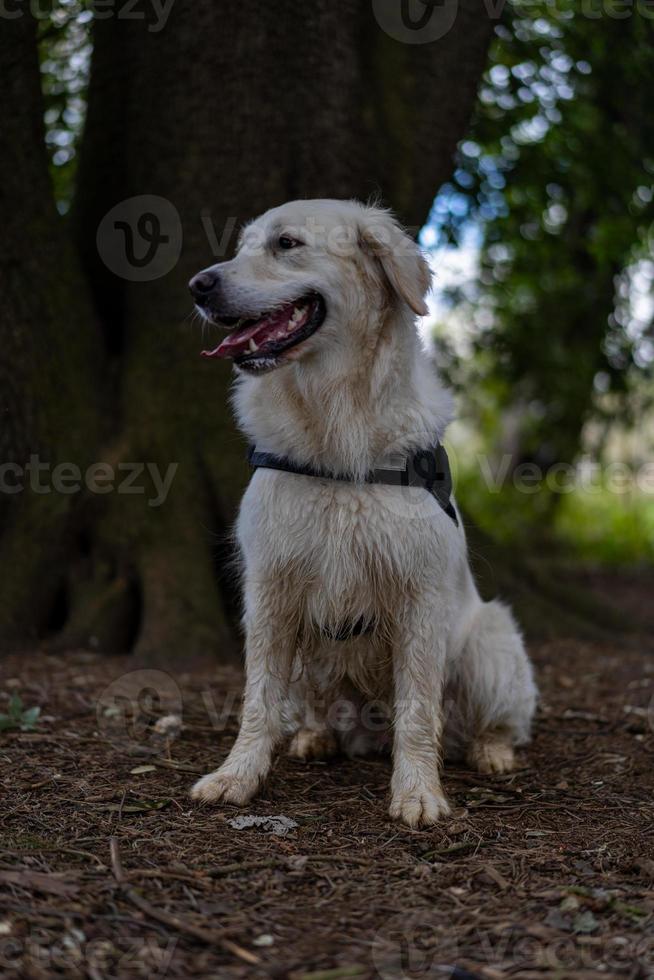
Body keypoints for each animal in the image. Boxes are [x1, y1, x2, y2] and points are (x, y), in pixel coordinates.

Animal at [190, 199, 540, 828]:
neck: (335, 425)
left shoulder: (420, 592)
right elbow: (258, 701)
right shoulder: (270, 589)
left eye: (286, 244)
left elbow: (419, 710)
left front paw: (418, 793)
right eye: (240, 247)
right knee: (312, 710)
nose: (198, 285)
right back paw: (316, 737)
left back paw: (492, 752)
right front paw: (237, 777)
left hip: (491, 643)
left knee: (495, 722)